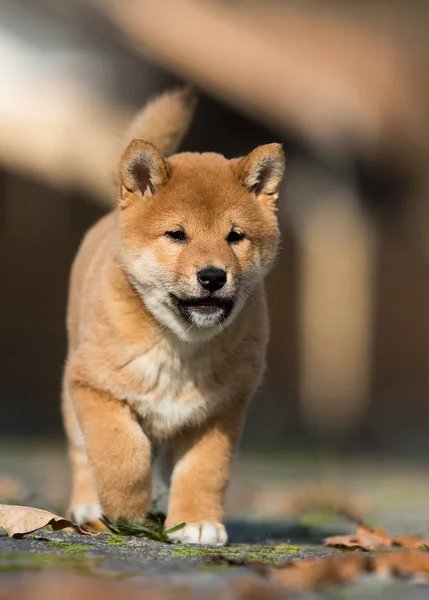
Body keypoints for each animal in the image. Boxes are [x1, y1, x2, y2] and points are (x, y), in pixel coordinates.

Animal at [62, 88, 284, 544]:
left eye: (234, 236)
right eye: (177, 235)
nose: (213, 276)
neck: (181, 347)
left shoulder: (221, 410)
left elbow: (203, 472)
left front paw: (197, 522)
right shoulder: (93, 386)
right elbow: (121, 454)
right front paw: (126, 509)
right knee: (82, 454)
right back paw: (90, 506)